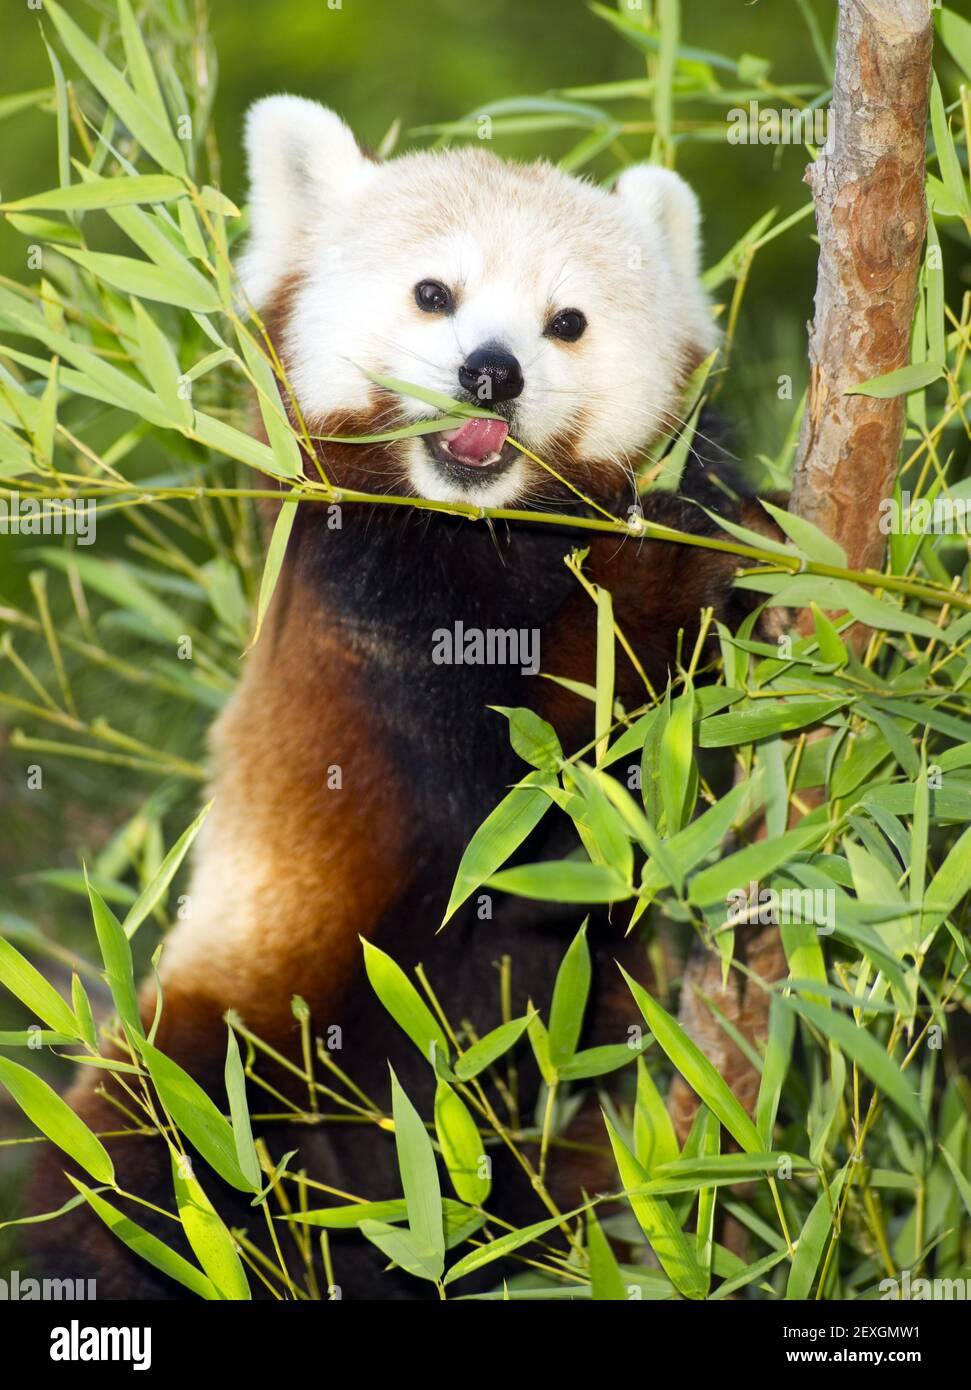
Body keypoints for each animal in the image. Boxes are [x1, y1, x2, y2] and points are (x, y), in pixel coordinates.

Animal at [28, 100, 783, 1301]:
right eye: (435, 293)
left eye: (566, 321)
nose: (491, 374)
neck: (487, 536)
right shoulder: (360, 624)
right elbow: (506, 794)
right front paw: (667, 570)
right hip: (214, 1072)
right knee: (141, 1185)